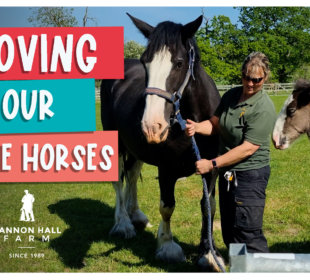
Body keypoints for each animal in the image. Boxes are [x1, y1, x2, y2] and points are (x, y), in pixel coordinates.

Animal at [100, 13, 224, 272]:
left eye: (179, 63)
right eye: (145, 62)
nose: (152, 126)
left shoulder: (211, 169)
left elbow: (208, 206)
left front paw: (208, 253)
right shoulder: (166, 171)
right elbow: (167, 206)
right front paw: (167, 247)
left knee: (132, 175)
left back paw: (136, 215)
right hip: (117, 142)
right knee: (118, 180)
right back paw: (123, 224)